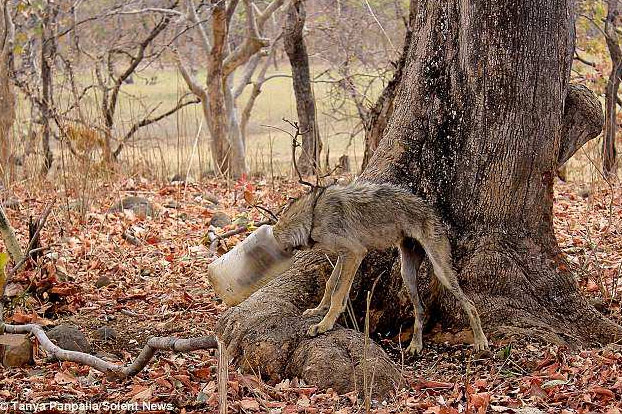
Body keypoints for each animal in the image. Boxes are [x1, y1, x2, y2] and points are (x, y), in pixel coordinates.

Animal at [272, 180, 492, 354]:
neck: (313, 214)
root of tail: (432, 211)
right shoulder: (345, 256)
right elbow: (331, 284)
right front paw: (318, 310)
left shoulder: (354, 253)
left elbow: (337, 293)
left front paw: (324, 325)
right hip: (407, 274)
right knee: (420, 310)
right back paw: (415, 345)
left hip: (441, 272)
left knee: (470, 304)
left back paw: (481, 341)